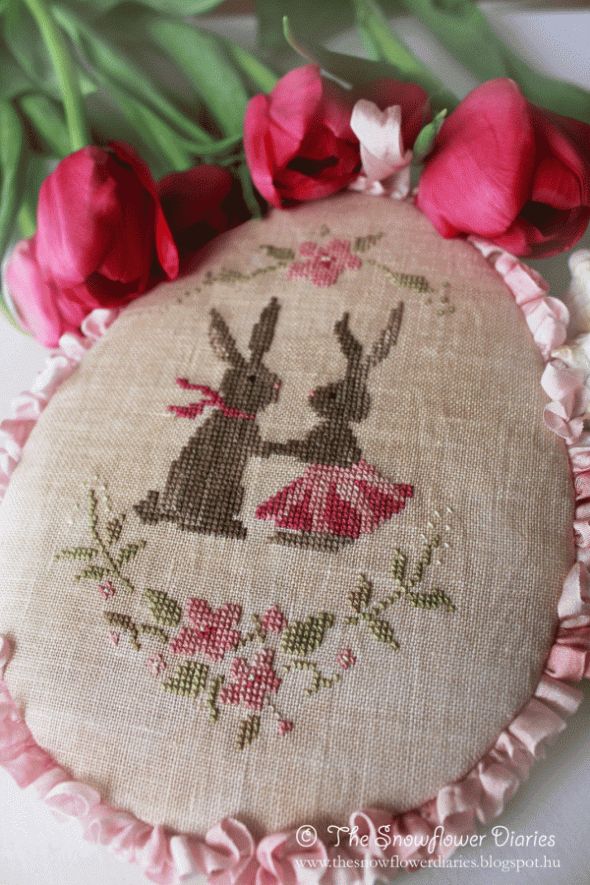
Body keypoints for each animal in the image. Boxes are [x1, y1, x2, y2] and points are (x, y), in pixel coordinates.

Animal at [135, 300, 280, 540]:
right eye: (252, 377)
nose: (278, 385)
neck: (235, 409)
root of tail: (168, 510)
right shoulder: (247, 438)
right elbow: (260, 449)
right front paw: (277, 446)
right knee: (193, 522)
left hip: (235, 492)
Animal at [256, 306, 414, 552]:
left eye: (332, 394)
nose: (311, 395)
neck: (337, 422)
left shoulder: (327, 437)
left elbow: (308, 450)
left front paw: (273, 446)